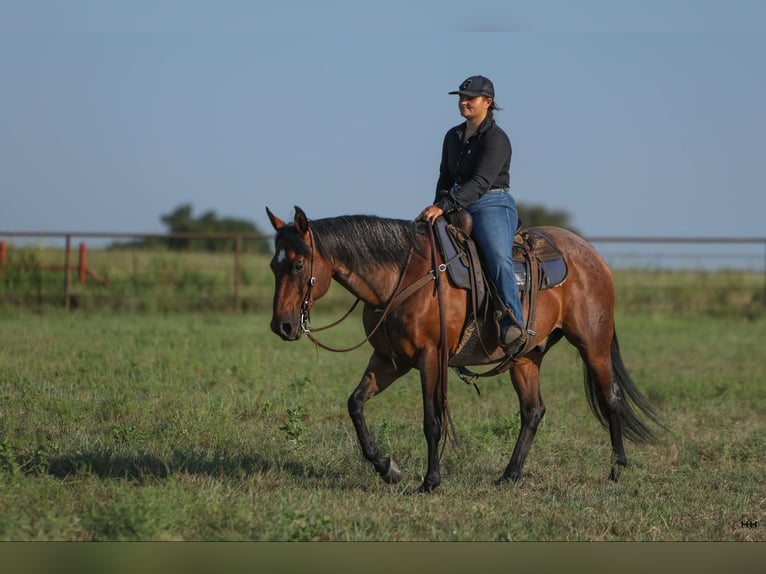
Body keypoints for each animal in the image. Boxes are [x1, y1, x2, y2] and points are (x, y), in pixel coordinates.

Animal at [266, 205, 662, 492]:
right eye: (274, 265)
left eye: (298, 264)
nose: (281, 326)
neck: (403, 277)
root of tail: (592, 255)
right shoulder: (390, 360)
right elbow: (356, 404)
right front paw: (388, 468)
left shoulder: (430, 356)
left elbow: (432, 420)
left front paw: (430, 482)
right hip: (526, 356)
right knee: (533, 410)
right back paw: (509, 476)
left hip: (593, 342)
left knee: (610, 398)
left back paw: (616, 471)